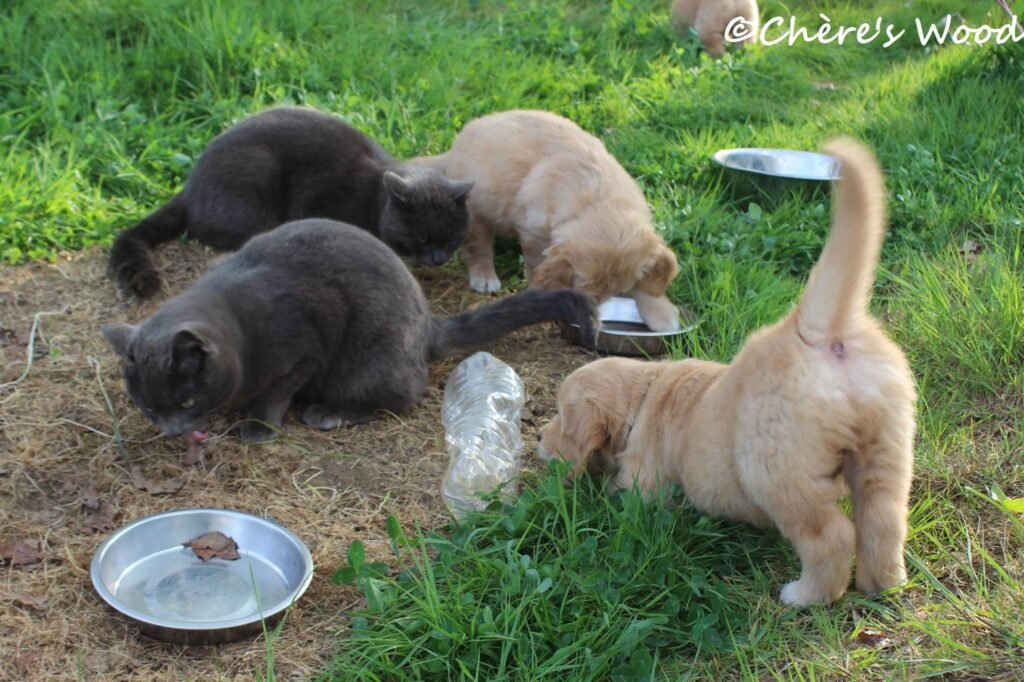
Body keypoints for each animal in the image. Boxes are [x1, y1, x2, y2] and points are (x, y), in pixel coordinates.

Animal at [101, 218, 598, 440]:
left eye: (185, 400)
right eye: (147, 407)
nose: (171, 431)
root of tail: (428, 324)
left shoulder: (305, 347)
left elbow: (276, 392)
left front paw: (258, 425)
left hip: (371, 356)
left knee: (401, 394)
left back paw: (329, 411)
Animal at [108, 105, 471, 294]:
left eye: (452, 238)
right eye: (422, 239)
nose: (439, 259)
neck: (374, 199)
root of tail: (189, 187)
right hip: (256, 173)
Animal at [411, 109, 684, 331]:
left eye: (616, 291)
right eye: (582, 287)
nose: (590, 313)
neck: (599, 198)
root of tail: (456, 146)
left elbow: (647, 282)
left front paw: (661, 312)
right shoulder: (533, 231)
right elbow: (535, 265)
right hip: (477, 210)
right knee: (478, 247)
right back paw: (484, 276)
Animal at [540, 138, 917, 606]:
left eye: (560, 417)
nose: (537, 438)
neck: (644, 397)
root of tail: (817, 331)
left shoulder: (644, 481)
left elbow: (627, 498)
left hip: (777, 472)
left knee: (830, 536)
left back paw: (804, 595)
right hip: (887, 450)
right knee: (884, 520)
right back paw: (883, 584)